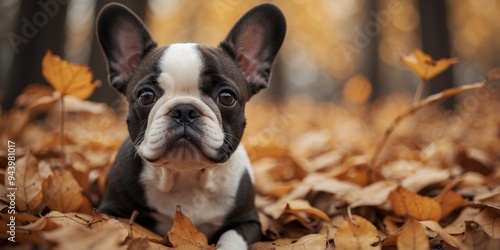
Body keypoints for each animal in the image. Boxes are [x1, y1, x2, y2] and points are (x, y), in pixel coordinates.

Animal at [96, 2, 286, 250]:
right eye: (146, 96)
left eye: (226, 97)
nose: (184, 110)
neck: (186, 176)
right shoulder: (110, 210)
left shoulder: (248, 221)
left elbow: (232, 236)